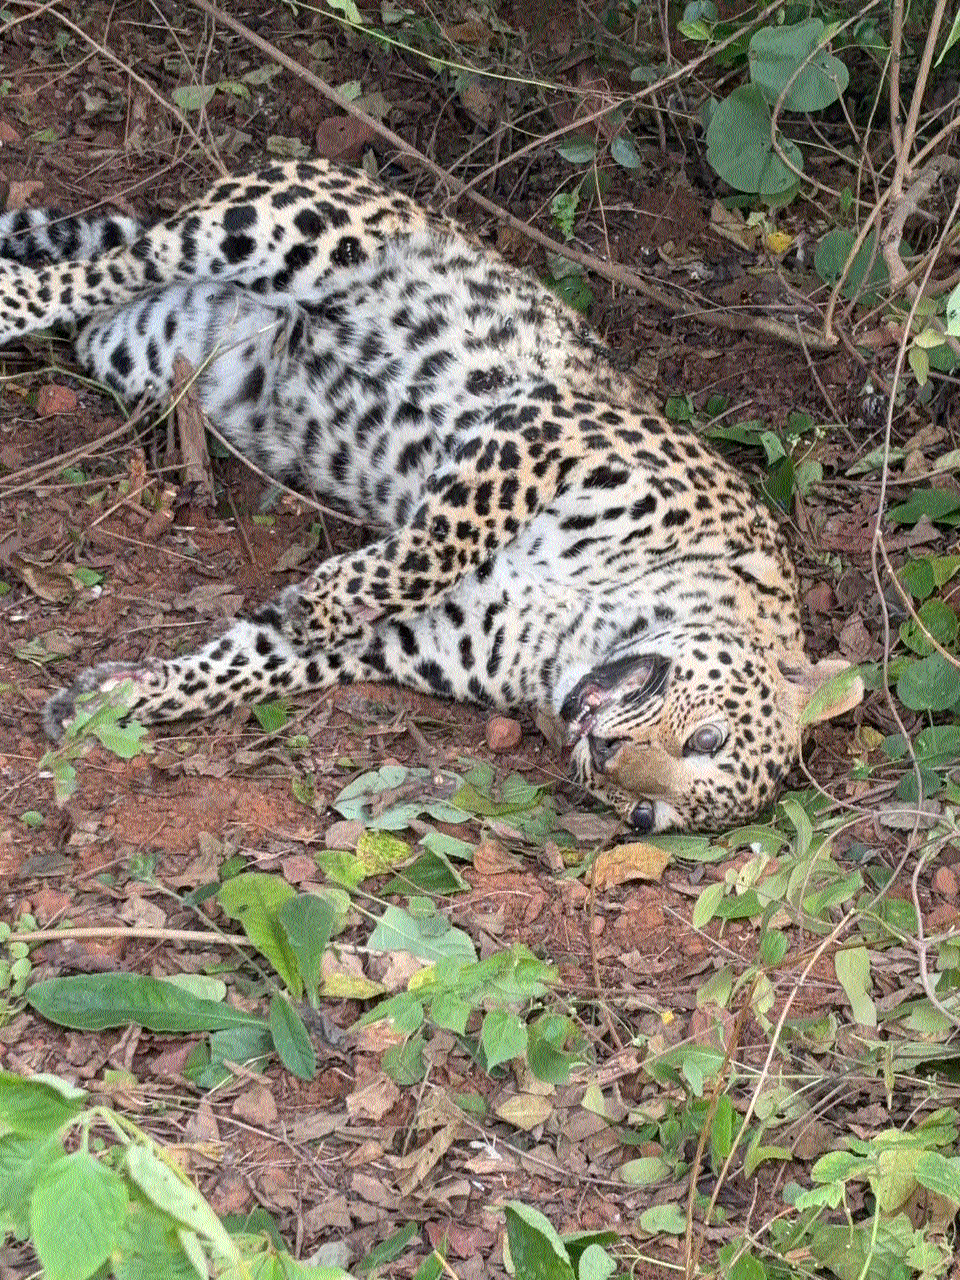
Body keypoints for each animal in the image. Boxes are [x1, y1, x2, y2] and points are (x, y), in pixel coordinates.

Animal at [0, 158, 862, 833]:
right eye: (707, 738)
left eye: (649, 816)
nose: (607, 750)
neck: (585, 629)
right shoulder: (547, 431)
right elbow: (443, 536)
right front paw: (327, 600)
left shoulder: (400, 642)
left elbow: (250, 665)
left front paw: (109, 701)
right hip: (276, 226)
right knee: (111, 264)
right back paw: (13, 296)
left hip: (143, 348)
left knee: (102, 304)